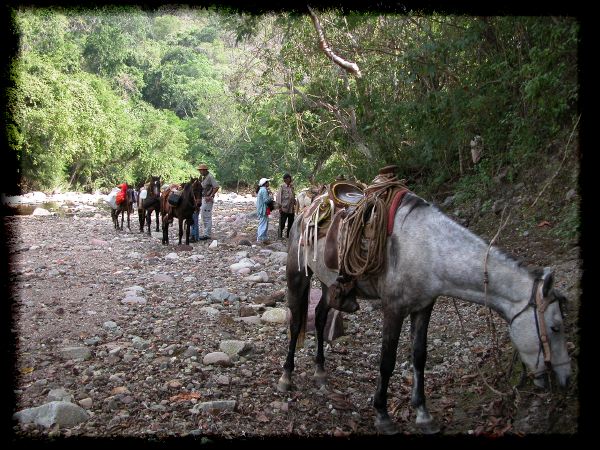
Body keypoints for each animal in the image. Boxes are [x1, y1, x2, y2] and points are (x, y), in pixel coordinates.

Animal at [278, 192, 572, 434]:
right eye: (556, 327)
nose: (566, 379)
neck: (428, 251)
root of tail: (307, 209)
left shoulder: (423, 307)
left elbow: (419, 356)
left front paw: (423, 414)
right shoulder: (393, 309)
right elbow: (387, 361)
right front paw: (382, 415)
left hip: (330, 285)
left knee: (320, 316)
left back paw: (320, 372)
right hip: (298, 275)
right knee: (297, 323)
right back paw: (286, 377)